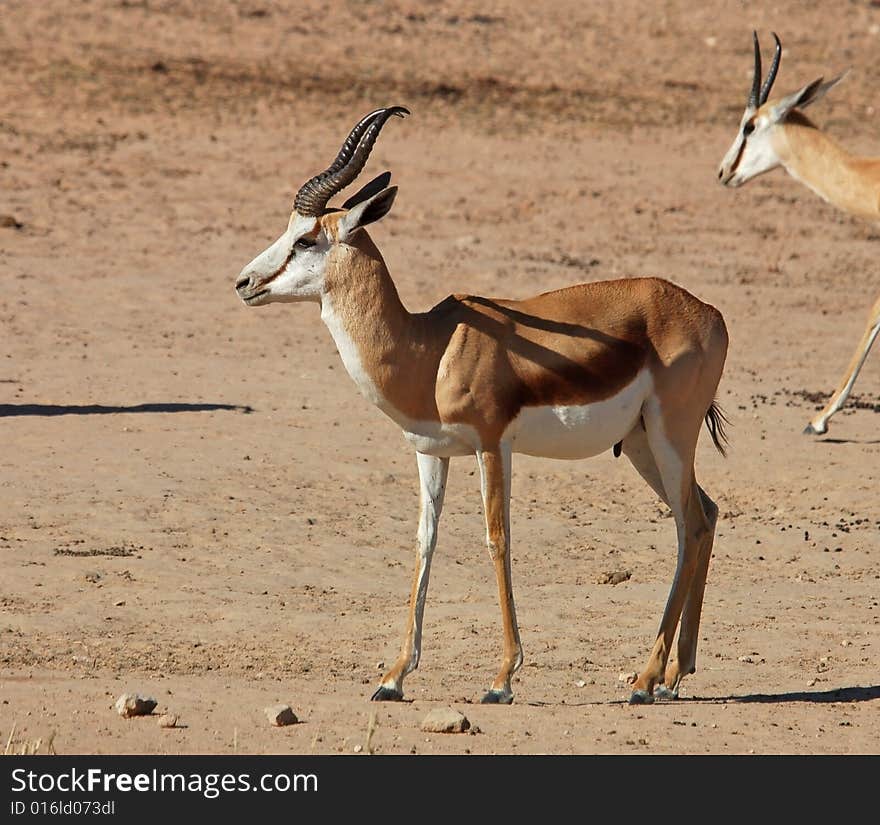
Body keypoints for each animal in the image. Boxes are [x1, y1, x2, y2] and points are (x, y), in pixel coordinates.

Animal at [234, 106, 728, 704]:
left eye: (306, 239)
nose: (245, 282)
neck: (430, 350)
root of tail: (707, 311)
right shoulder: (430, 452)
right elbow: (424, 543)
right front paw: (393, 677)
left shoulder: (492, 445)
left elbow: (498, 538)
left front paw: (501, 679)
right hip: (639, 443)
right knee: (702, 515)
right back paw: (674, 676)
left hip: (670, 434)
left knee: (689, 523)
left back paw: (647, 678)